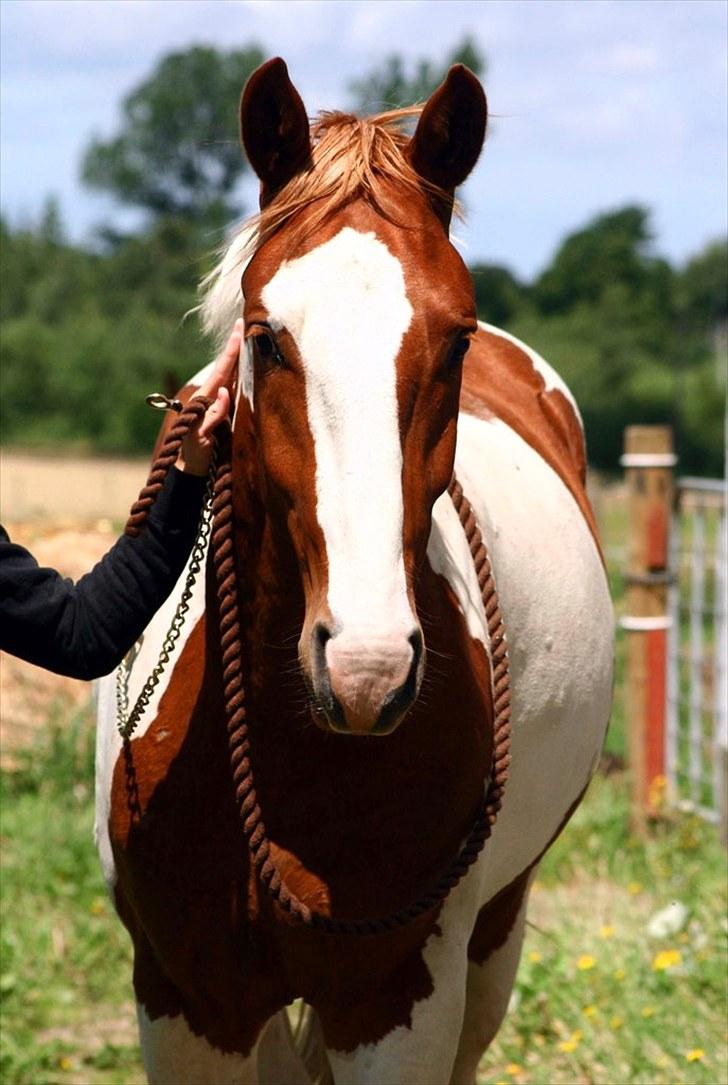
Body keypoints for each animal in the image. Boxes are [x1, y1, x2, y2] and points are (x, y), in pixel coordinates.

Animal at [93, 59, 611, 1085]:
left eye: (456, 339)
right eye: (265, 336)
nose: (366, 669)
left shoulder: (396, 1003)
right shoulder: (184, 1001)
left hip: (496, 936)